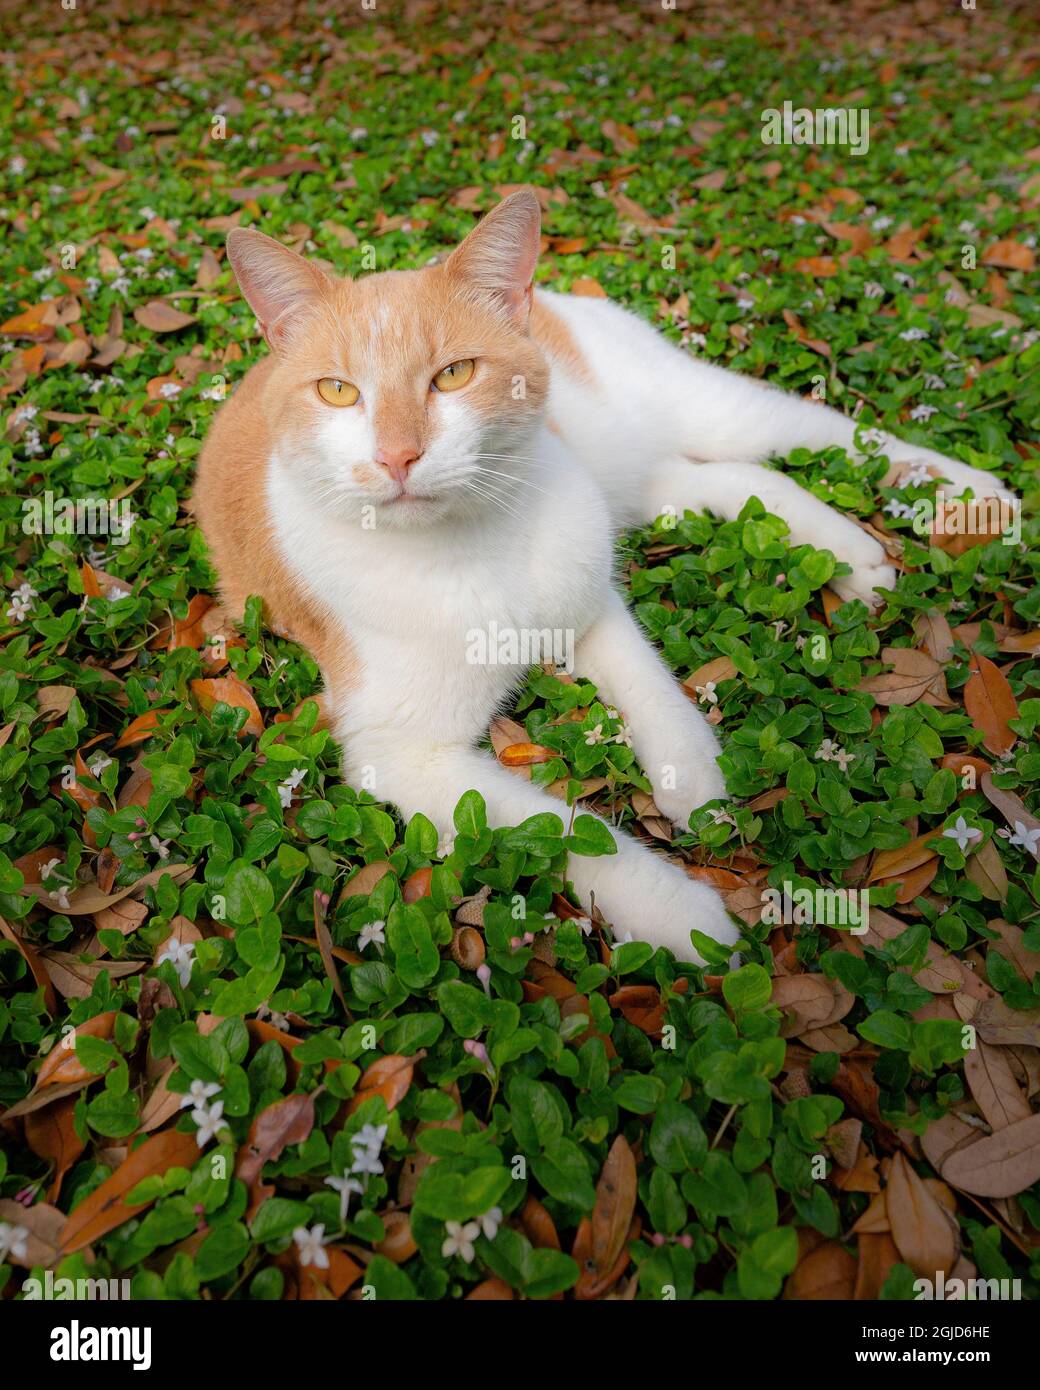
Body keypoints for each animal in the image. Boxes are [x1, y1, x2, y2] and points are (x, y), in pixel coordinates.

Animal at [190, 187, 1012, 967]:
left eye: (454, 375)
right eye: (337, 391)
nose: (397, 456)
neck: (469, 546)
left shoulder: (586, 591)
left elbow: (646, 678)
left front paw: (692, 772)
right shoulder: (400, 758)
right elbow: (556, 827)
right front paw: (685, 909)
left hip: (699, 409)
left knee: (833, 433)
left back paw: (973, 494)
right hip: (637, 478)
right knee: (733, 478)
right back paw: (852, 552)